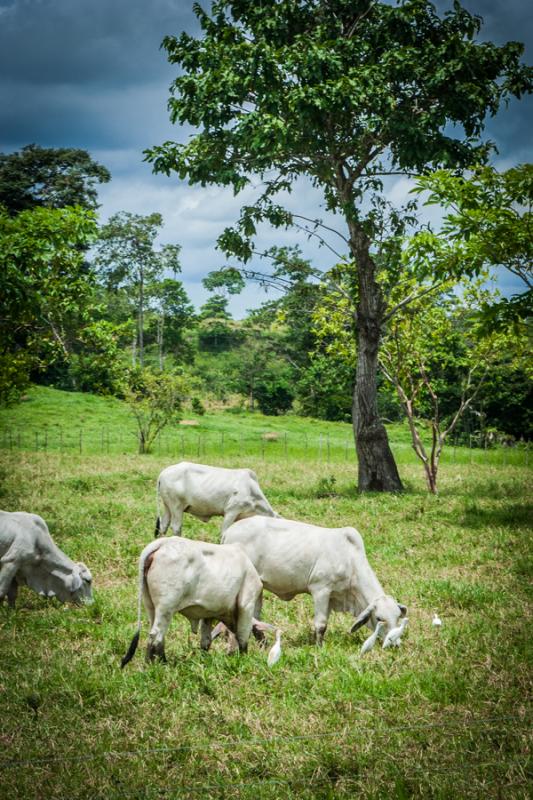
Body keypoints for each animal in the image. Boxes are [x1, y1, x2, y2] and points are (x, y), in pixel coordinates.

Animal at [120, 536, 262, 668]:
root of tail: (163, 543)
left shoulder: (208, 613)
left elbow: (206, 640)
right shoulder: (247, 605)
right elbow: (243, 637)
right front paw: (243, 660)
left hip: (150, 605)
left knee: (154, 634)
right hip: (166, 607)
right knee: (156, 635)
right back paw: (159, 665)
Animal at [222, 520, 406, 644]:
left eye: (398, 617)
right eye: (380, 618)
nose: (395, 644)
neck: (349, 558)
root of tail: (228, 532)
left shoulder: (332, 597)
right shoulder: (321, 590)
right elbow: (321, 624)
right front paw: (319, 647)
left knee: (255, 617)